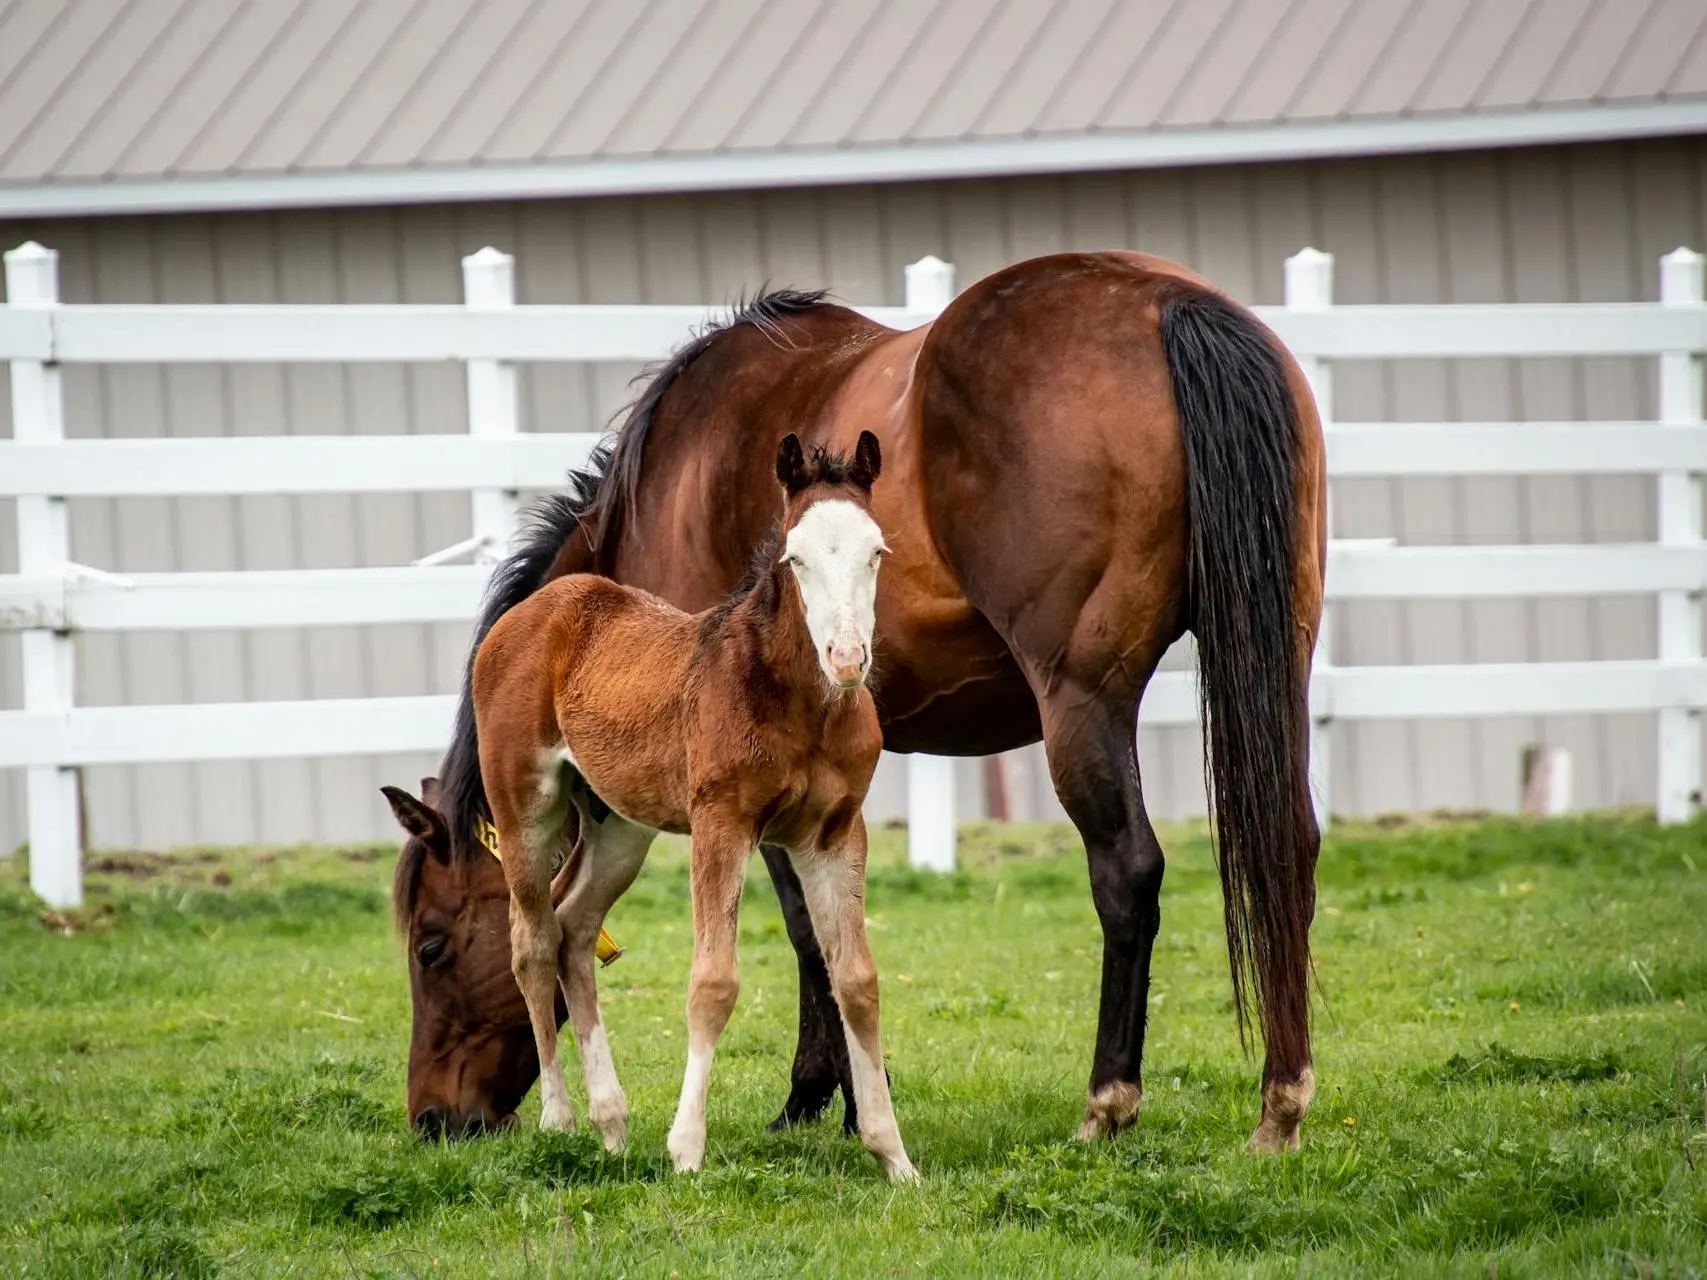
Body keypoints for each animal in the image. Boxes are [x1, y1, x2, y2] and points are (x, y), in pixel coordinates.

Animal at [467, 431, 921, 1181]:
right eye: (795, 557)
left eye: (876, 551)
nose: (847, 658)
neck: (798, 703)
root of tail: (527, 616)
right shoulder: (722, 822)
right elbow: (713, 982)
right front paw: (685, 1150)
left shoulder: (833, 834)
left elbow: (857, 980)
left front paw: (894, 1157)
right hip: (524, 804)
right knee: (531, 941)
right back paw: (561, 1120)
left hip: (618, 827)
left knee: (575, 929)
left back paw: (612, 1124)